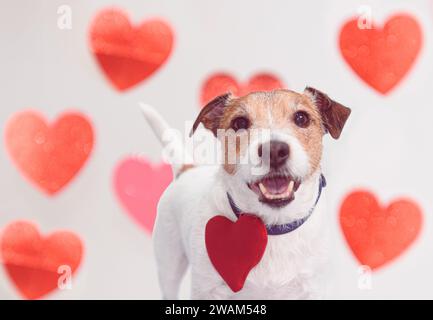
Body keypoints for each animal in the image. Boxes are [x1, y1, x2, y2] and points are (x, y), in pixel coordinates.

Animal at [142, 86, 352, 298]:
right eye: (240, 122)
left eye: (302, 118)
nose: (274, 150)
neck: (270, 228)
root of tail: (186, 170)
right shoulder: (207, 289)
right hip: (169, 263)